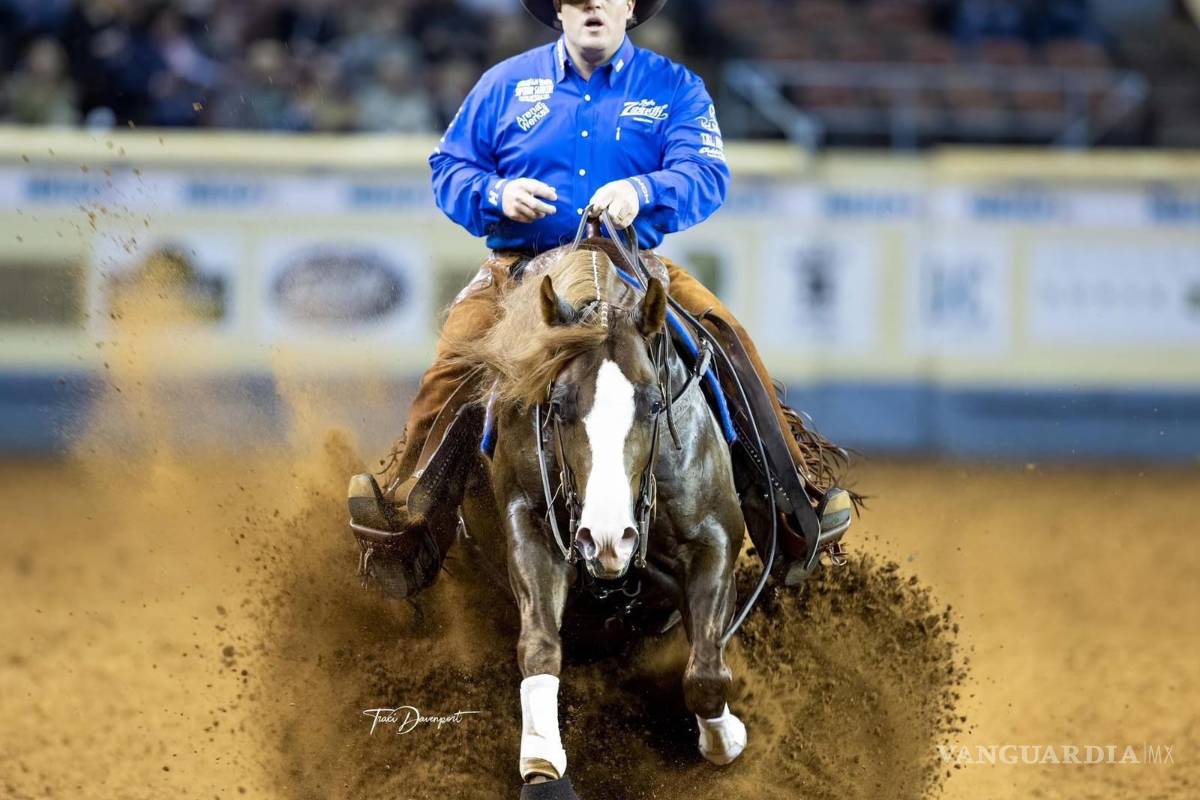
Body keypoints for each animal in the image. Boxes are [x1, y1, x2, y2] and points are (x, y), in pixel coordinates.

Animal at [442, 240, 750, 798]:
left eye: (654, 403)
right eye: (559, 405)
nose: (609, 540)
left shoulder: (715, 539)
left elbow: (705, 673)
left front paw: (726, 739)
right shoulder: (532, 530)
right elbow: (540, 648)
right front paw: (543, 766)